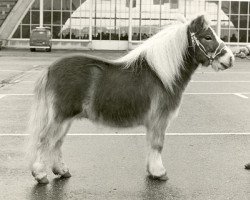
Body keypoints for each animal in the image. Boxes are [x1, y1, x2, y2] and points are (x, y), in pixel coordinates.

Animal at [27, 15, 234, 184]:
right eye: (207, 37)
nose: (230, 58)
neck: (162, 75)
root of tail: (50, 69)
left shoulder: (154, 122)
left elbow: (151, 144)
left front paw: (152, 171)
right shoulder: (159, 120)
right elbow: (158, 144)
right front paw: (159, 173)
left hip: (66, 118)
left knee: (56, 143)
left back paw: (61, 171)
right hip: (60, 117)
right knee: (45, 140)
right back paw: (40, 175)